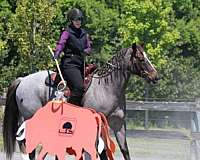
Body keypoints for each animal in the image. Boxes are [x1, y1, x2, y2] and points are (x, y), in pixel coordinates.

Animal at [2, 42, 159, 160]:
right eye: (141, 58)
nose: (156, 76)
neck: (107, 87)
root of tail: (22, 80)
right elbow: (97, 151)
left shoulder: (118, 124)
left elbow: (123, 150)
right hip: (31, 117)